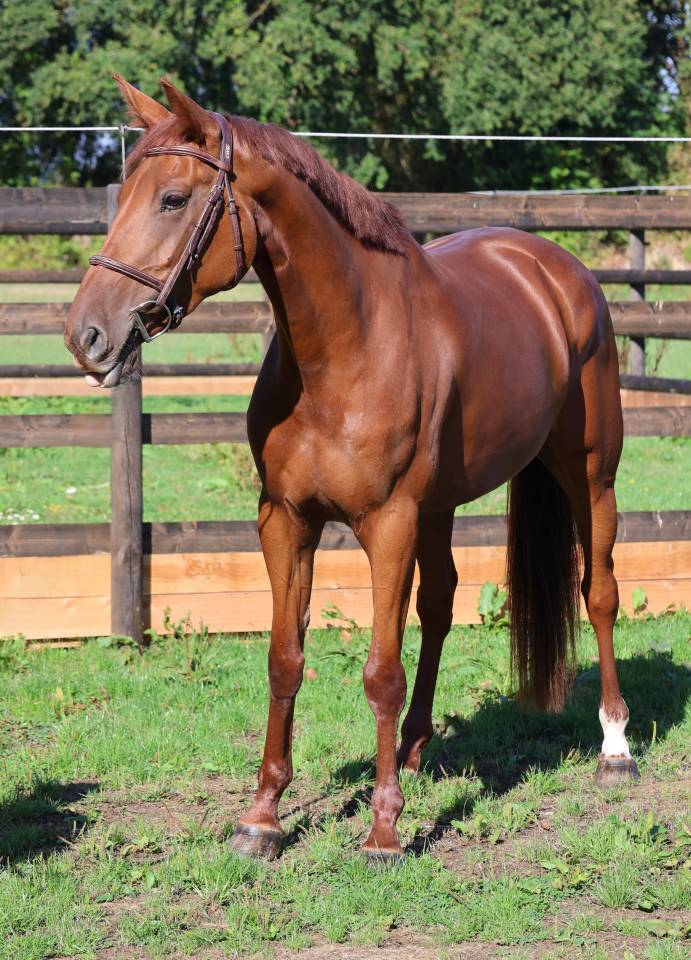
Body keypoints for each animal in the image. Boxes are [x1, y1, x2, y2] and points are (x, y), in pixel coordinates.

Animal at [64, 77, 639, 862]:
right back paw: (415, 750)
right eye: (123, 195)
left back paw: (613, 747)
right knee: (440, 607)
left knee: (599, 592)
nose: (86, 335)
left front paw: (384, 831)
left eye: (173, 200)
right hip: (441, 505)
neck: (344, 350)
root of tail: (558, 270)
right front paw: (263, 817)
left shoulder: (387, 522)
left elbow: (380, 671)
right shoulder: (285, 520)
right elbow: (285, 659)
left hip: (589, 475)